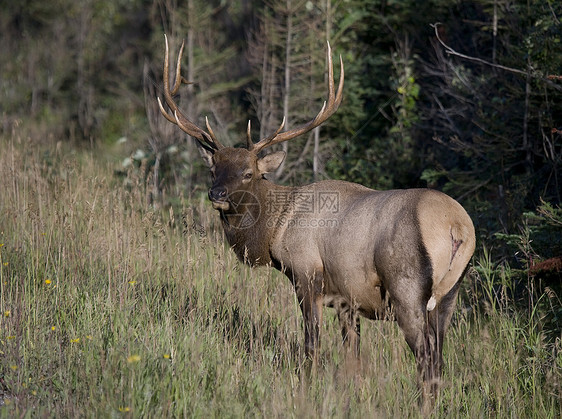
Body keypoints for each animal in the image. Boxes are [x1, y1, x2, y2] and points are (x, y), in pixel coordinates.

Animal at [156, 36, 472, 406]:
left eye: (248, 173)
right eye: (213, 168)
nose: (216, 193)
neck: (275, 230)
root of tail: (458, 228)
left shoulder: (306, 273)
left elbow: (311, 344)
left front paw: (305, 388)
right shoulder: (347, 299)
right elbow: (352, 356)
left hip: (406, 286)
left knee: (426, 359)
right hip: (449, 294)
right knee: (439, 358)